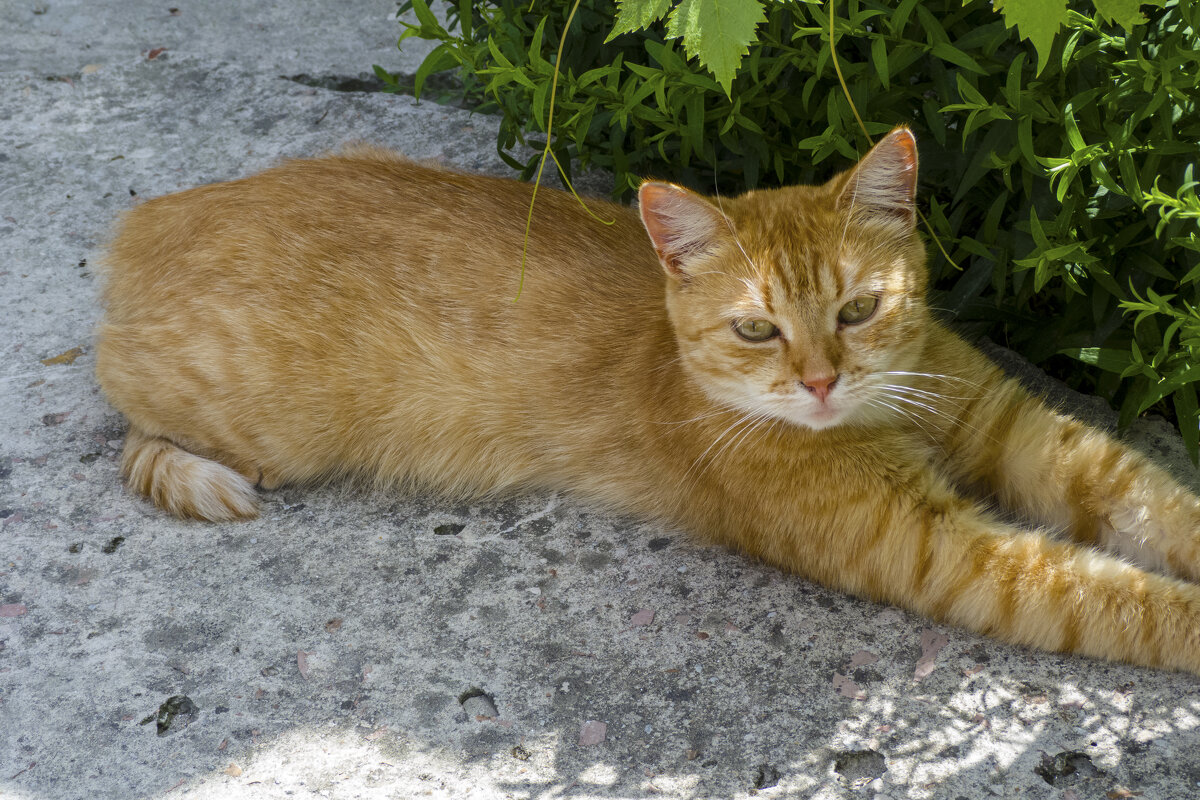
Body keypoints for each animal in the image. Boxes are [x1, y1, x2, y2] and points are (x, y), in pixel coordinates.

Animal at [96, 131, 1200, 676]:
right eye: (757, 329)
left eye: (859, 308)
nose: (820, 379)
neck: (885, 411)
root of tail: (147, 218)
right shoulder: (944, 548)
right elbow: (1114, 595)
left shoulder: (1024, 435)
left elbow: (1155, 504)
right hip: (252, 426)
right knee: (127, 429)